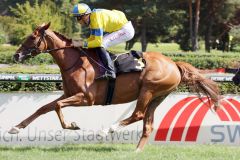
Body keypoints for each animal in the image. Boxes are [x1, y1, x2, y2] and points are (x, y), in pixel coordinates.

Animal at [8, 22, 219, 151]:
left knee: (138, 115)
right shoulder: (68, 94)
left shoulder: (86, 98)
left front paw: (72, 125)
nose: (16, 55)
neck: (74, 62)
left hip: (148, 90)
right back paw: (136, 151)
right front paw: (16, 128)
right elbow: (44, 107)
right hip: (157, 97)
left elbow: (57, 107)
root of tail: (174, 64)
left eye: (32, 37)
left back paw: (106, 130)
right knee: (148, 124)